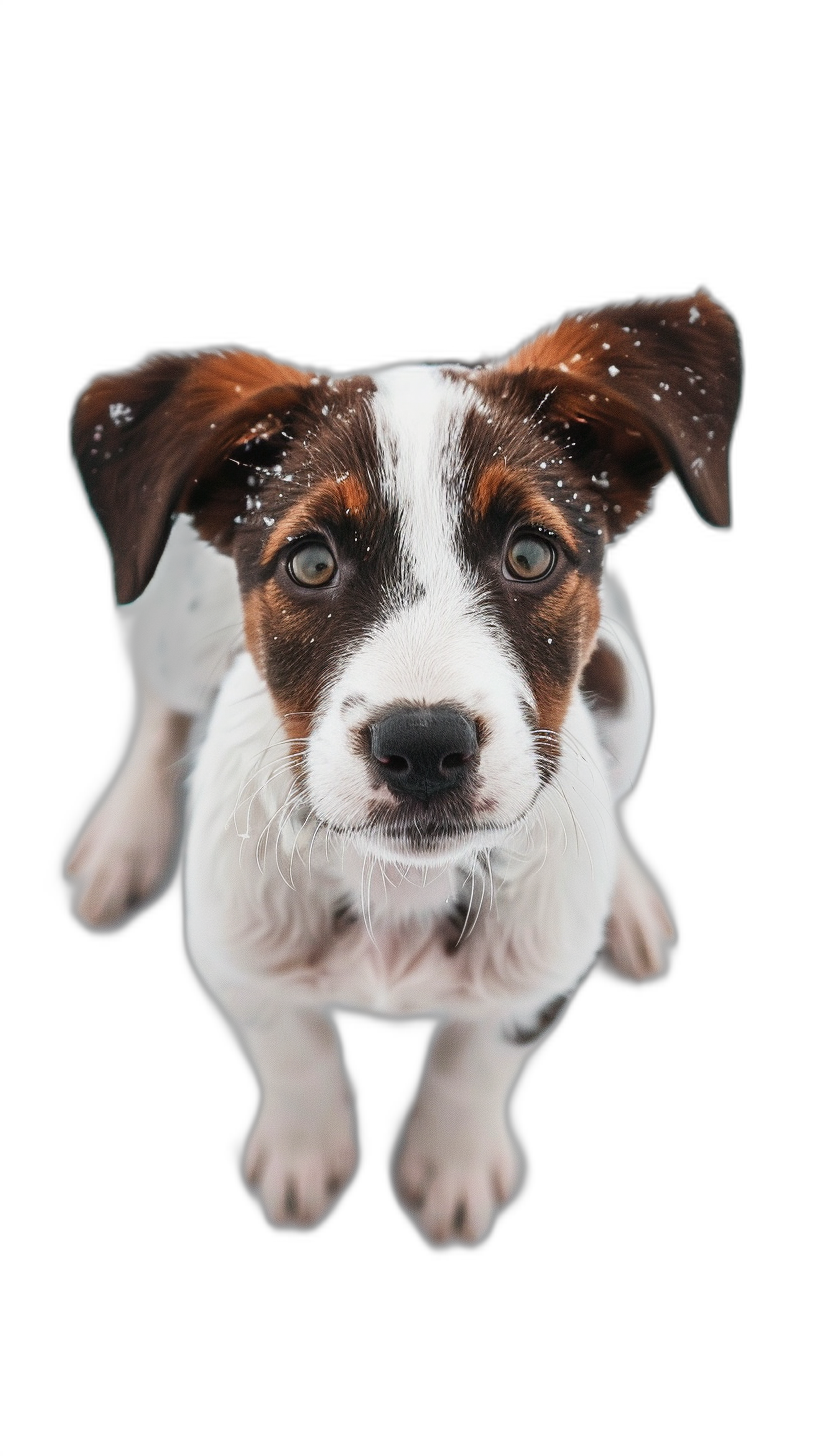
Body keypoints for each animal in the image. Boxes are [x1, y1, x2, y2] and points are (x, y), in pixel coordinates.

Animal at [63, 289, 743, 1246]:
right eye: (311, 562)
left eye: (530, 554)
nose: (424, 746)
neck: (395, 889)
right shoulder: (234, 956)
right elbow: (294, 1046)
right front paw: (304, 1154)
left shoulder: (528, 989)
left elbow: (474, 1055)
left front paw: (450, 1166)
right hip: (171, 621)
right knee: (162, 705)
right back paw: (123, 842)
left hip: (628, 680)